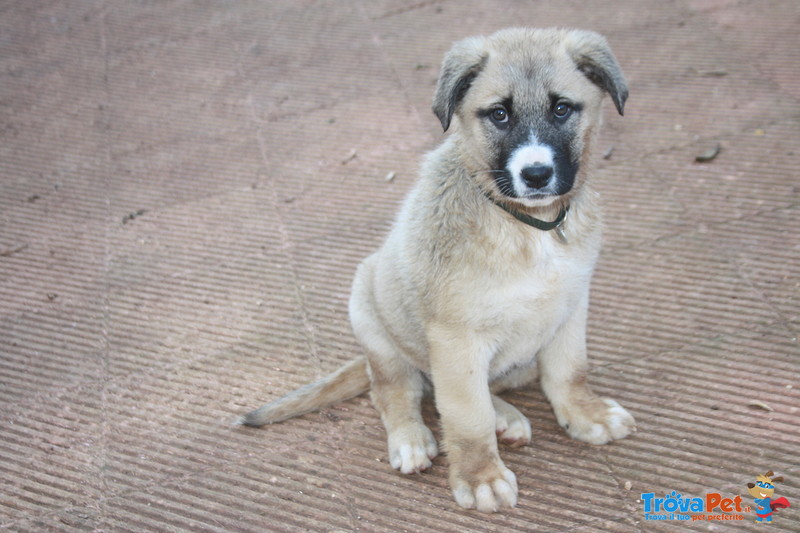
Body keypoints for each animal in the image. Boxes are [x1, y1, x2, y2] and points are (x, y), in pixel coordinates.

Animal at [241, 28, 636, 512]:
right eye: (499, 114)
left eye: (562, 108)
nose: (536, 174)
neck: (526, 225)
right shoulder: (456, 337)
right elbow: (466, 416)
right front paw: (480, 476)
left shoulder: (570, 306)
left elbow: (569, 371)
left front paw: (586, 414)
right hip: (370, 313)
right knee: (396, 391)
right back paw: (411, 439)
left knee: (477, 387)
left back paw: (505, 417)